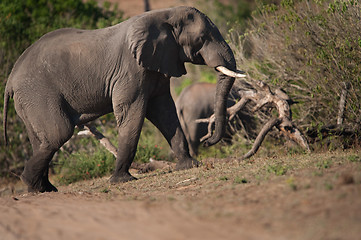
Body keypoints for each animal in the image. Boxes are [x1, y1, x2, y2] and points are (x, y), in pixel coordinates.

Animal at [2, 6, 245, 192]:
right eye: (202, 39)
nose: (208, 141)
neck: (165, 15)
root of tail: (10, 79)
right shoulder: (130, 70)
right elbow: (133, 114)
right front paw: (122, 180)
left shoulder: (156, 65)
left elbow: (165, 112)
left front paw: (189, 166)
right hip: (38, 93)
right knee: (58, 133)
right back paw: (32, 185)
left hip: (29, 101)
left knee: (41, 139)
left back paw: (44, 188)